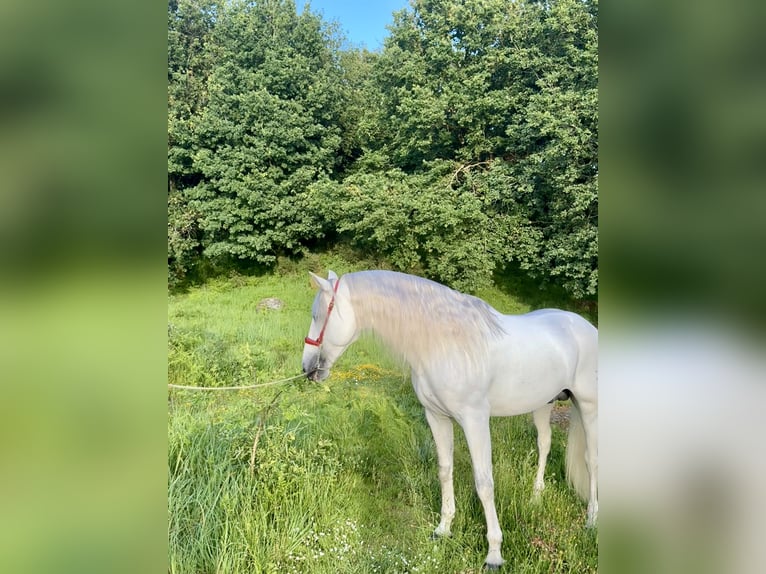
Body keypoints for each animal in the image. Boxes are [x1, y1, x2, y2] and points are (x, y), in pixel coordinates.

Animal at [302, 272, 600, 568]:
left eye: (317, 315)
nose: (307, 369)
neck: (446, 342)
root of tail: (585, 327)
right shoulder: (436, 417)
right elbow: (445, 471)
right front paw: (443, 529)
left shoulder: (475, 420)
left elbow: (484, 482)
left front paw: (494, 553)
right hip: (543, 404)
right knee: (545, 444)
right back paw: (536, 498)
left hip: (588, 407)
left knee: (591, 459)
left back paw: (592, 518)